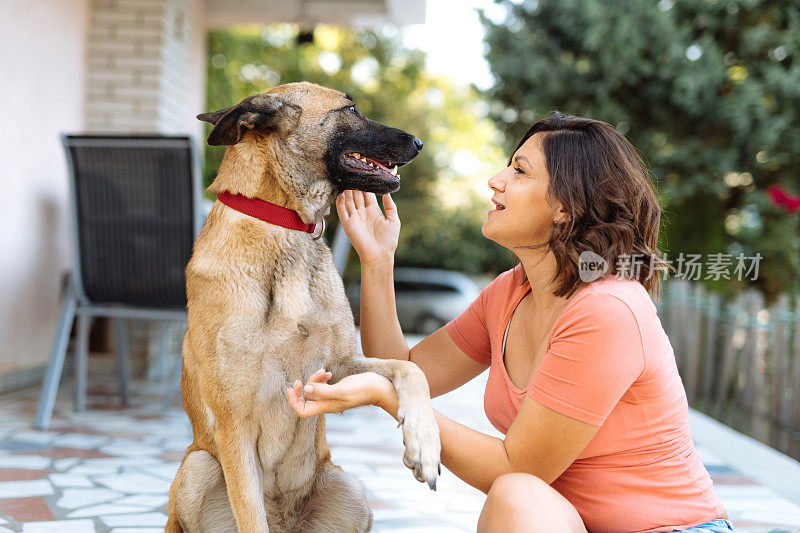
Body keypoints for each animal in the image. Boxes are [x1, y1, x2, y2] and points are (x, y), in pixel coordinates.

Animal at [163, 80, 438, 532]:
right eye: (351, 109)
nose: (418, 143)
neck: (282, 225)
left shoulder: (339, 366)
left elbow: (410, 368)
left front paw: (425, 445)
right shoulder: (233, 425)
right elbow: (250, 517)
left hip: (352, 489)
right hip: (197, 468)